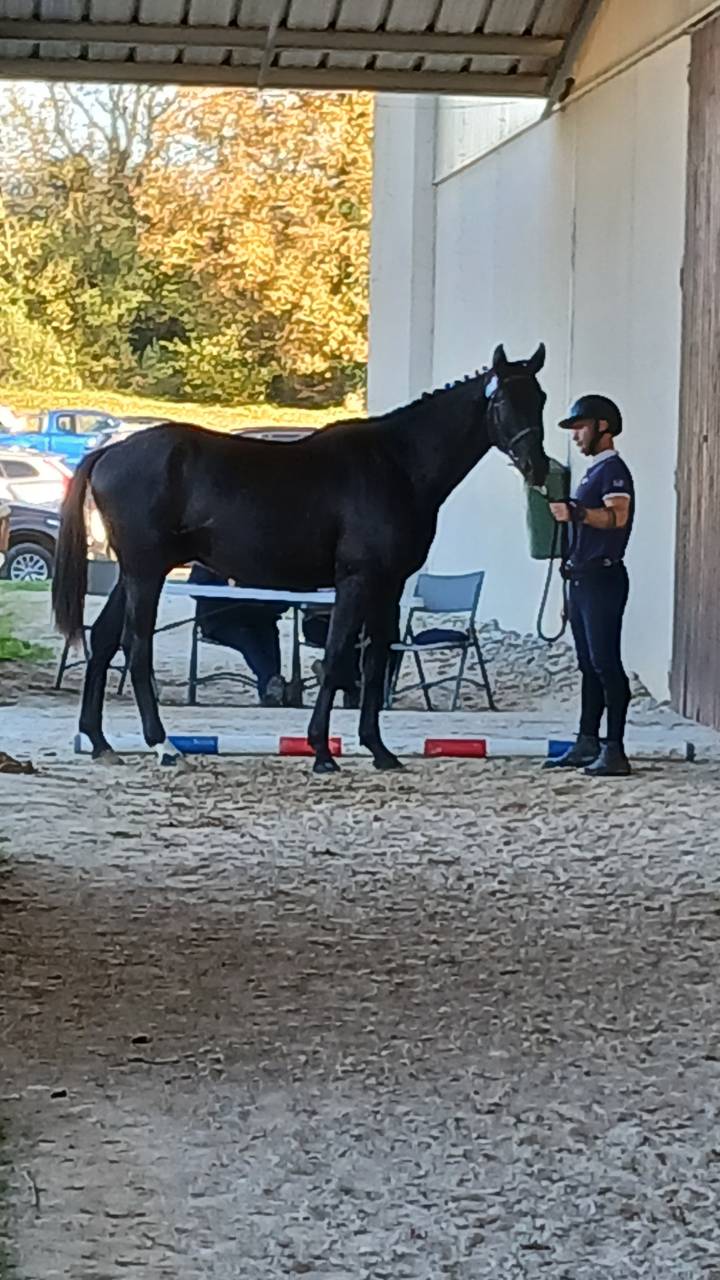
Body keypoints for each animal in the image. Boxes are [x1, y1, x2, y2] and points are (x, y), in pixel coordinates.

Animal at [52, 343, 549, 774]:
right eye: (503, 400)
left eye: (540, 398)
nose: (538, 466)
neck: (396, 464)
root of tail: (108, 452)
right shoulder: (356, 580)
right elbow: (335, 657)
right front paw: (322, 753)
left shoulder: (388, 587)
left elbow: (373, 662)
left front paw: (379, 750)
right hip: (146, 572)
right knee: (135, 647)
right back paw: (164, 746)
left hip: (132, 573)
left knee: (104, 640)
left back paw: (100, 742)